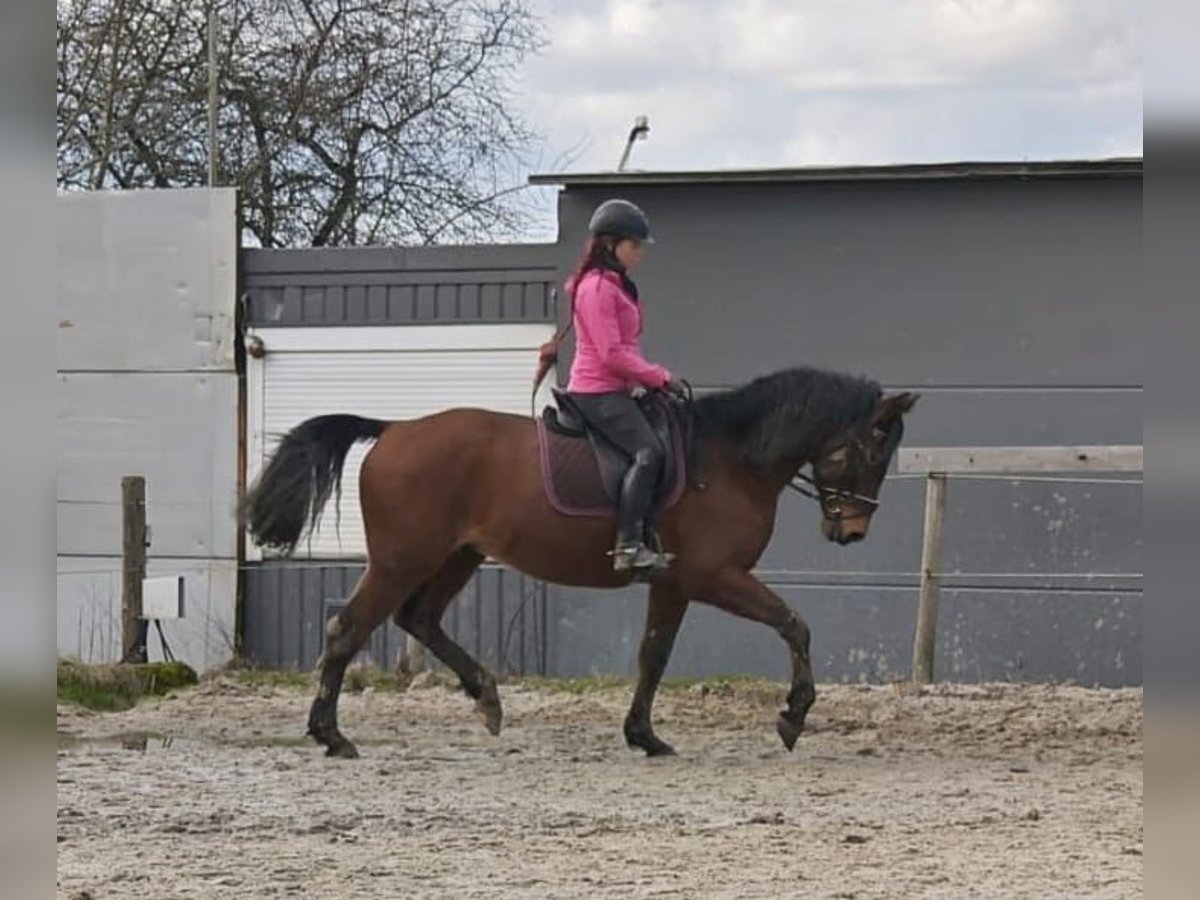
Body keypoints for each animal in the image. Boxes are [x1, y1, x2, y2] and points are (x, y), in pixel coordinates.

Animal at [241, 367, 916, 763]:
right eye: (875, 447)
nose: (852, 531)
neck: (731, 458)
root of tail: (395, 429)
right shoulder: (715, 576)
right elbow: (793, 624)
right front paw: (793, 716)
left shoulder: (673, 583)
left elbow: (653, 656)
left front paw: (644, 736)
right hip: (401, 560)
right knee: (347, 629)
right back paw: (332, 735)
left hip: (457, 555)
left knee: (420, 620)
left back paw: (487, 698)